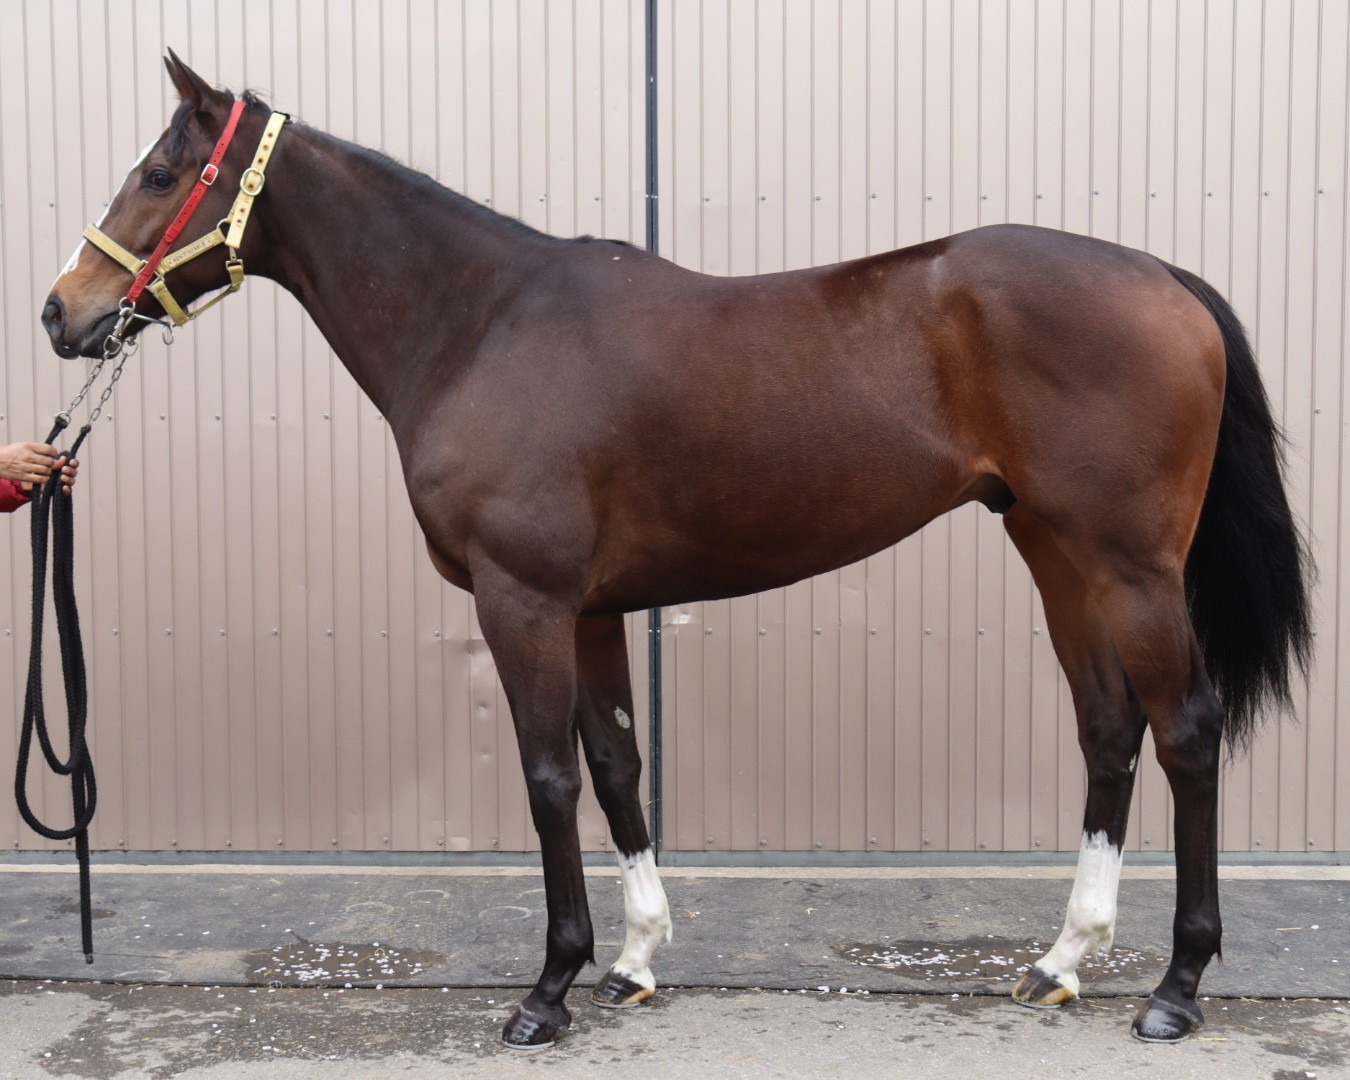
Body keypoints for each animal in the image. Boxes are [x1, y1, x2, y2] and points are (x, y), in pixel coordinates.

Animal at [42, 53, 1311, 1049]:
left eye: (160, 174)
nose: (62, 312)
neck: (482, 322)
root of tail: (1166, 279)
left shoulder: (523, 601)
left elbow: (548, 777)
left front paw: (548, 990)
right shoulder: (593, 607)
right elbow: (616, 766)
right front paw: (635, 961)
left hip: (1132, 568)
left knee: (1187, 732)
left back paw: (1177, 987)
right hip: (1058, 556)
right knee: (1109, 731)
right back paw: (1059, 961)